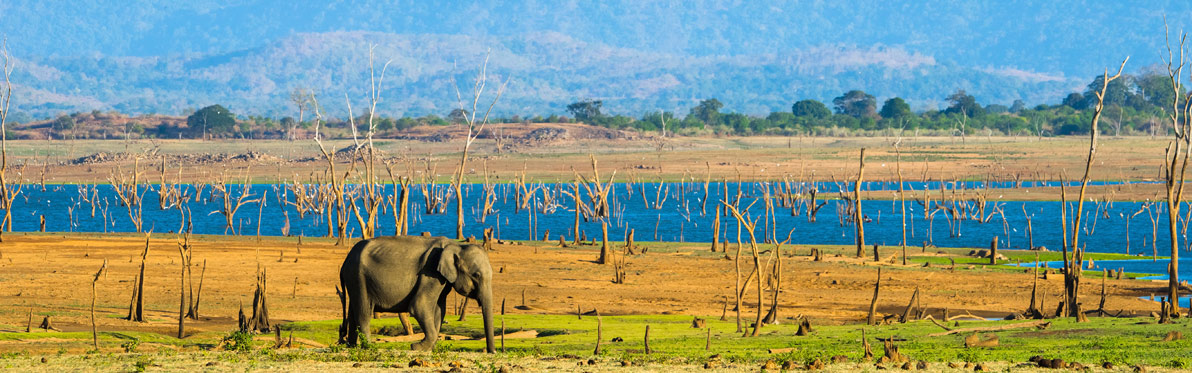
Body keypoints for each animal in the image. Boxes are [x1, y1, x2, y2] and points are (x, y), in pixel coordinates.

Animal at [336, 234, 493, 350]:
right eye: (476, 275)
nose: (492, 351)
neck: (456, 245)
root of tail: (344, 263)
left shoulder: (441, 279)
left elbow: (439, 310)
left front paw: (429, 348)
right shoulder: (430, 272)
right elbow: (419, 305)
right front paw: (417, 347)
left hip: (355, 280)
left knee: (353, 311)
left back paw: (352, 346)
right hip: (358, 277)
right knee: (363, 311)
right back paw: (368, 346)